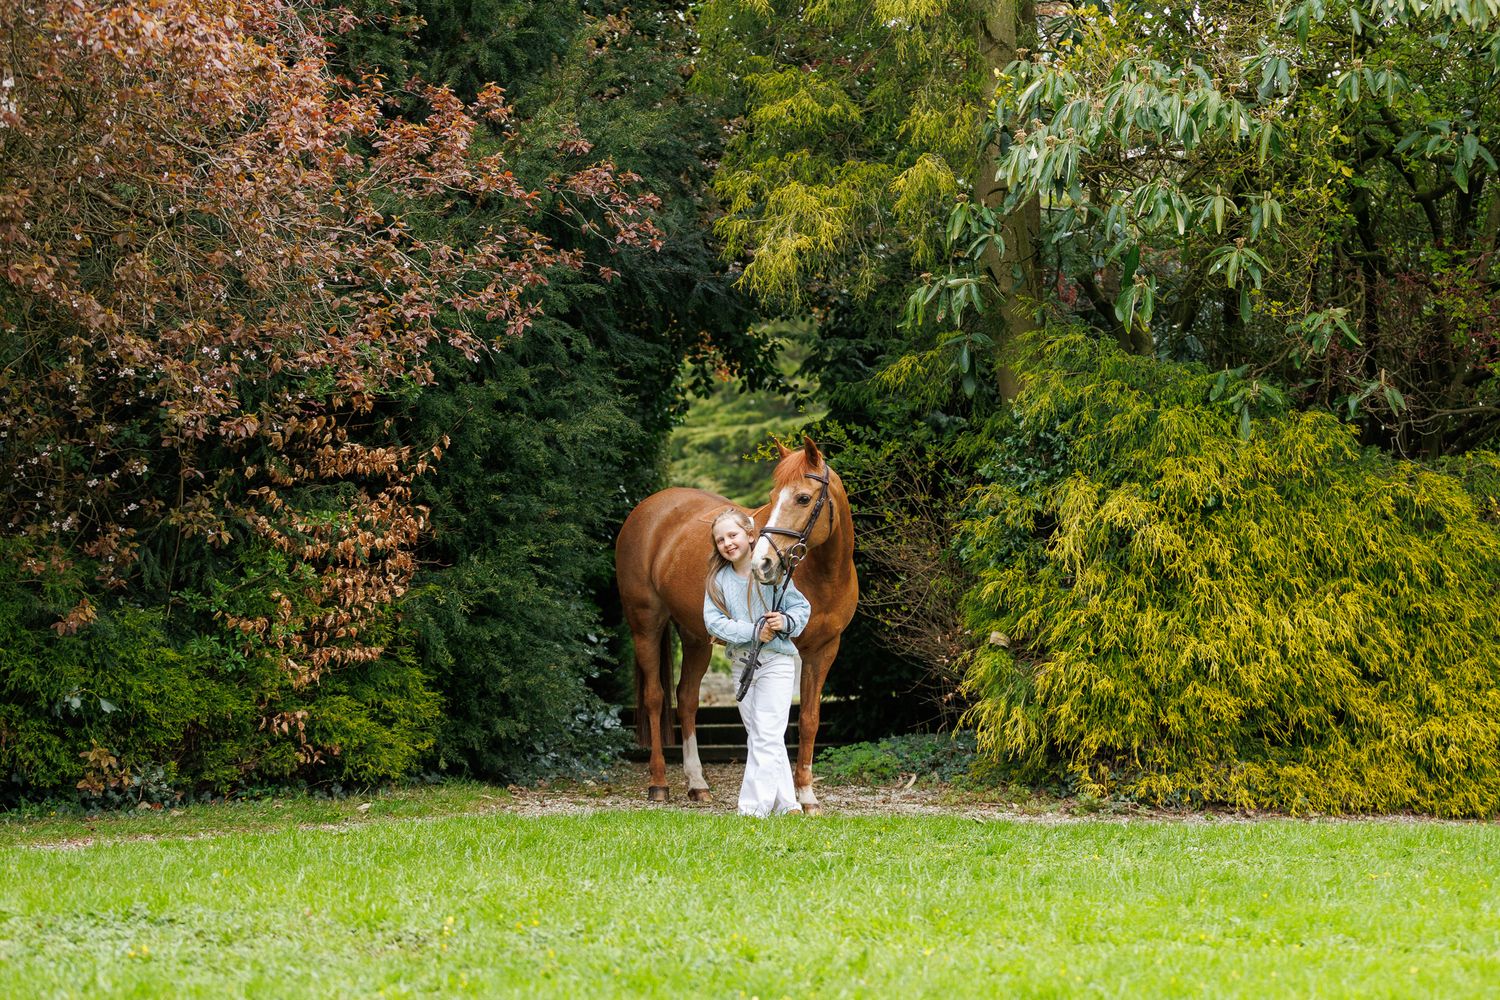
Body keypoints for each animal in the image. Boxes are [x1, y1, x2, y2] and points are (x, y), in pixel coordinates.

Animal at [614, 436, 857, 813]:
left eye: (803, 498)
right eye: (772, 496)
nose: (764, 563)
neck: (825, 575)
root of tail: (648, 509)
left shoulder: (824, 650)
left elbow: (809, 720)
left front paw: (807, 797)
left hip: (695, 637)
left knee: (687, 699)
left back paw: (697, 784)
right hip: (646, 625)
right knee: (656, 698)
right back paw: (659, 783)